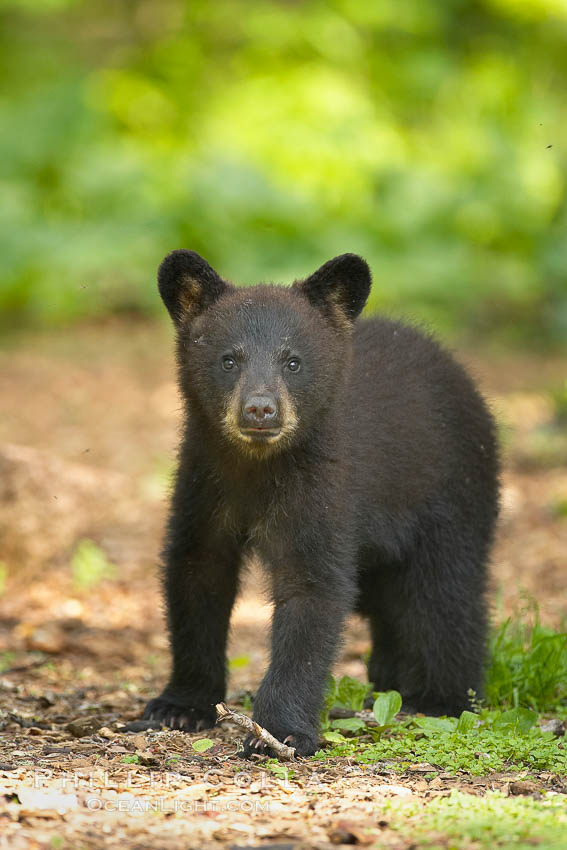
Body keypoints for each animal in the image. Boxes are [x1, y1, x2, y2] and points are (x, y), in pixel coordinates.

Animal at [139, 249, 500, 757]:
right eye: (229, 359)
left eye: (292, 362)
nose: (260, 409)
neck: (257, 468)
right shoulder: (203, 484)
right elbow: (197, 575)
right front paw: (179, 705)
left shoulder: (323, 489)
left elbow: (311, 593)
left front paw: (280, 732)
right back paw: (390, 680)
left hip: (450, 490)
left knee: (445, 591)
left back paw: (441, 698)